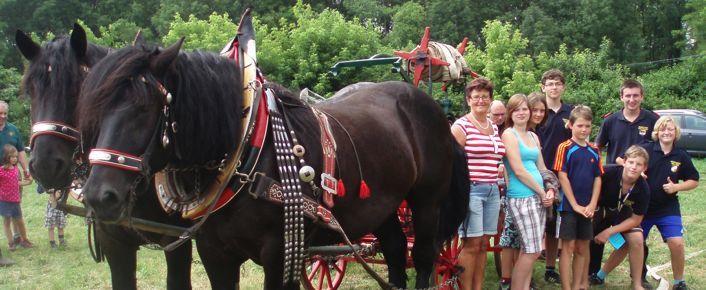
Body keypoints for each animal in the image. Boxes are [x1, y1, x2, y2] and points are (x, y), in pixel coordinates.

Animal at [78, 38, 468, 290]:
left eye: (145, 108)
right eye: (91, 107)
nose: (99, 196)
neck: (248, 149)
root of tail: (432, 108)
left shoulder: (282, 255)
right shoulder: (215, 255)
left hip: (427, 202)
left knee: (424, 256)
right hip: (383, 205)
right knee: (396, 250)